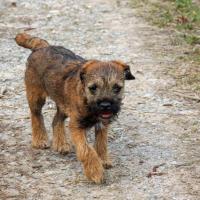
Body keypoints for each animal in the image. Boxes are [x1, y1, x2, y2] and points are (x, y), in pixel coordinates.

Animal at [14, 32, 135, 183]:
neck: (87, 101)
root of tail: (42, 46)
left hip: (64, 105)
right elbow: (86, 150)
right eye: (93, 88)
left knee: (56, 120)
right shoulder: (76, 126)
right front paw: (95, 171)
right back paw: (40, 140)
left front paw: (103, 160)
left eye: (117, 88)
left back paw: (60, 144)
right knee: (36, 116)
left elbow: (101, 144)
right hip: (36, 95)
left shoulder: (102, 124)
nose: (105, 105)